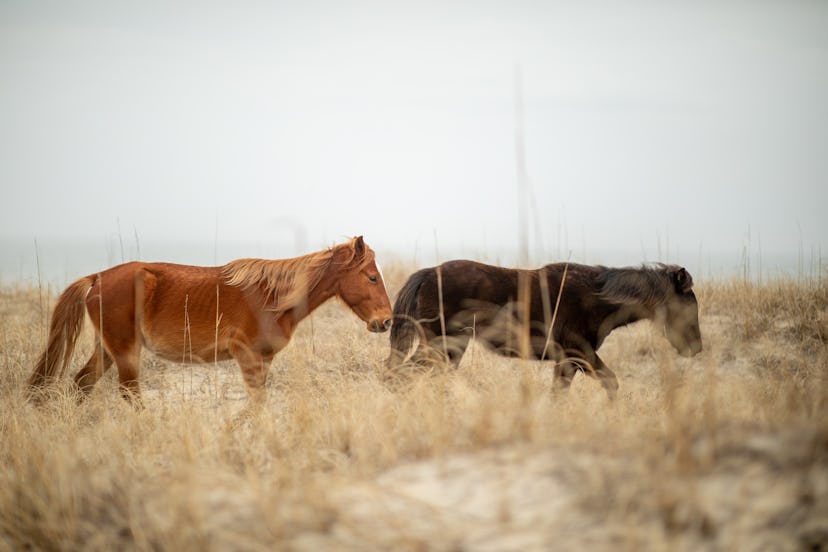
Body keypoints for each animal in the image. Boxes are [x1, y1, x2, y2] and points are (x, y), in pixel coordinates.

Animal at [30, 235, 392, 404]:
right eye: (372, 277)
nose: (386, 321)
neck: (272, 298)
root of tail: (97, 278)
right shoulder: (246, 356)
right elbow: (258, 402)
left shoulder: (263, 360)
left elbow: (257, 402)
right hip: (125, 353)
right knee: (130, 394)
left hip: (107, 350)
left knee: (83, 383)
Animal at [384, 258, 700, 396]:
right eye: (690, 307)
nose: (696, 347)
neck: (598, 296)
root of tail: (428, 273)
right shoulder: (577, 355)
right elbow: (609, 382)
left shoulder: (567, 361)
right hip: (441, 346)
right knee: (401, 373)